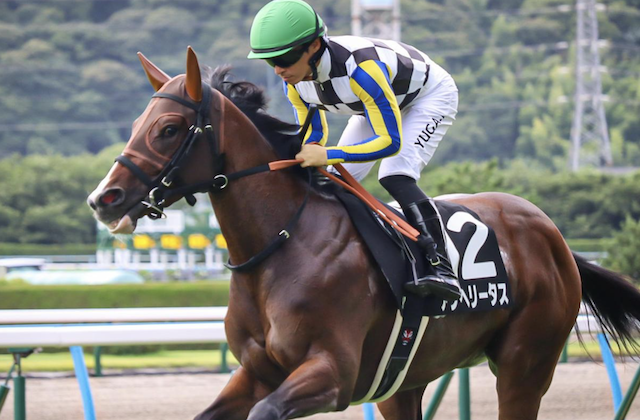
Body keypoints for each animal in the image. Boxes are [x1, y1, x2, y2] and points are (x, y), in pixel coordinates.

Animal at [87, 47, 640, 420]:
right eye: (138, 122)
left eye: (169, 129)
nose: (103, 198)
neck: (281, 245)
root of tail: (555, 238)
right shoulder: (256, 372)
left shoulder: (333, 373)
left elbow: (269, 409)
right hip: (404, 379)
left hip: (526, 364)